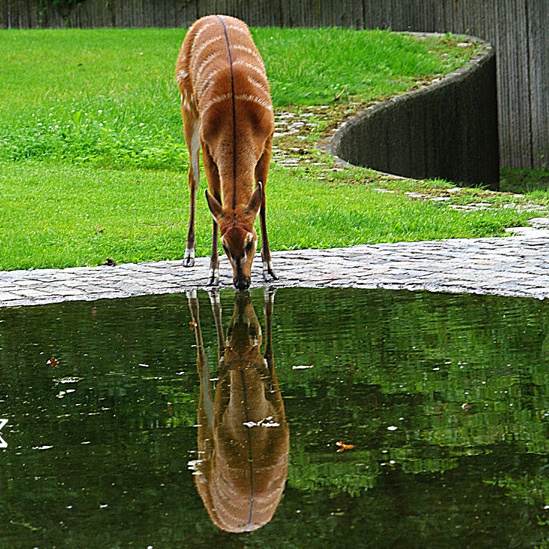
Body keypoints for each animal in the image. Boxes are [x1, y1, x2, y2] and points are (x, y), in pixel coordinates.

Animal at [178, 15, 276, 292]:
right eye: (224, 244)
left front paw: (269, 269)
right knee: (193, 178)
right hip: (187, 105)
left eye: (250, 241)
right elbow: (216, 200)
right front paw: (212, 273)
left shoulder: (268, 140)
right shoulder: (209, 146)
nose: (241, 282)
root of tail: (212, 16)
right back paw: (188, 254)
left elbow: (262, 201)